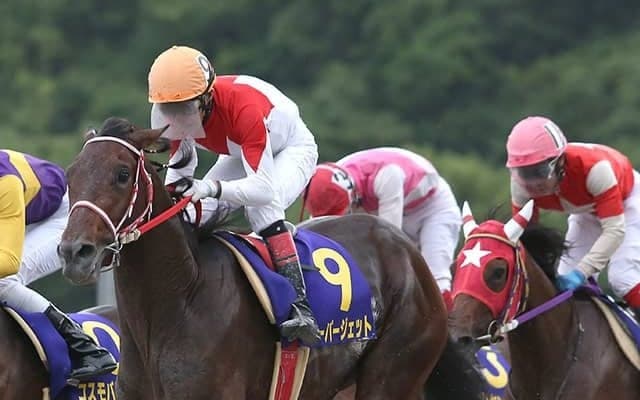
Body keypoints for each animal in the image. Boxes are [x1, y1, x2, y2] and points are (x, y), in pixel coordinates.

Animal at [57, 117, 451, 400]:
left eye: (122, 174)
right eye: (70, 175)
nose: (75, 252)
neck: (181, 298)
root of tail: (405, 249)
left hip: (392, 373)